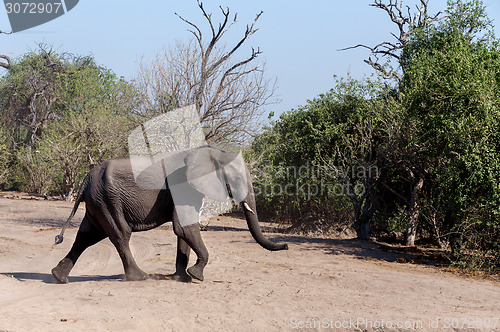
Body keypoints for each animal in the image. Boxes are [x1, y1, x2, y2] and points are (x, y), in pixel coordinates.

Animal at [52, 145, 288, 282]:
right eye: (237, 179)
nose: (286, 245)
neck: (215, 152)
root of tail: (86, 178)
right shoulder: (182, 185)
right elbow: (184, 228)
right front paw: (196, 276)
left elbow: (184, 230)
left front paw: (181, 278)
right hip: (107, 200)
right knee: (120, 234)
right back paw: (140, 277)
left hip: (98, 202)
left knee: (87, 236)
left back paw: (58, 276)